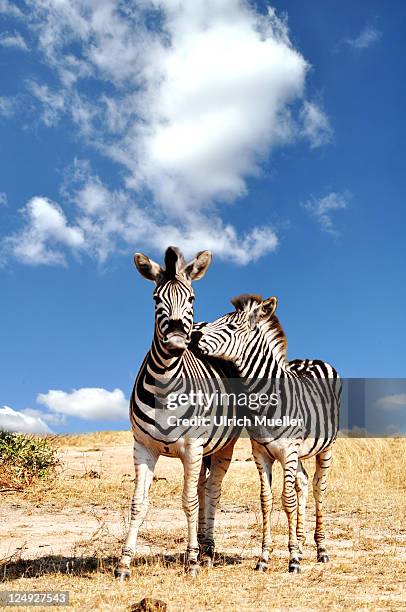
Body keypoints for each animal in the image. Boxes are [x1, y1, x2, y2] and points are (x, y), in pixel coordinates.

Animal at [115, 247, 238, 580]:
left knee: (211, 491)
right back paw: (204, 547)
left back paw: (206, 551)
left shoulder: (192, 447)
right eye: (155, 298)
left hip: (222, 447)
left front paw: (192, 561)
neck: (165, 384)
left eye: (192, 298)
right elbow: (138, 503)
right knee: (203, 487)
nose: (175, 342)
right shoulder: (143, 447)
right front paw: (124, 563)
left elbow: (189, 501)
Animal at [197, 296, 340, 572]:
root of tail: (312, 359)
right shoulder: (261, 453)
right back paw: (302, 542)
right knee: (303, 482)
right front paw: (265, 558)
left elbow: (287, 499)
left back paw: (321, 549)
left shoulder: (288, 452)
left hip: (325, 448)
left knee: (319, 488)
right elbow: (266, 500)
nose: (194, 335)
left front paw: (293, 559)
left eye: (230, 327)